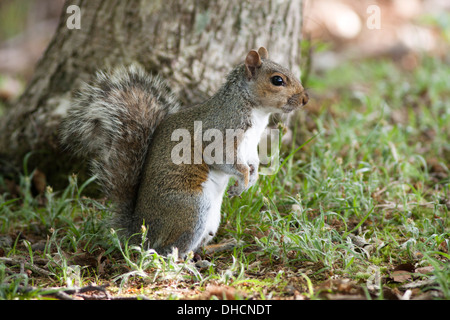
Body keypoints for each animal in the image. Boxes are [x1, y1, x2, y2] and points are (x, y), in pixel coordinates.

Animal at [59, 47, 308, 256]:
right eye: (277, 80)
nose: (305, 99)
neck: (256, 112)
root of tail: (140, 231)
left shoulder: (250, 147)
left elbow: (252, 162)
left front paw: (251, 179)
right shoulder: (219, 135)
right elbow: (225, 160)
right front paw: (243, 181)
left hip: (211, 219)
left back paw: (220, 246)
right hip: (191, 209)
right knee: (169, 251)